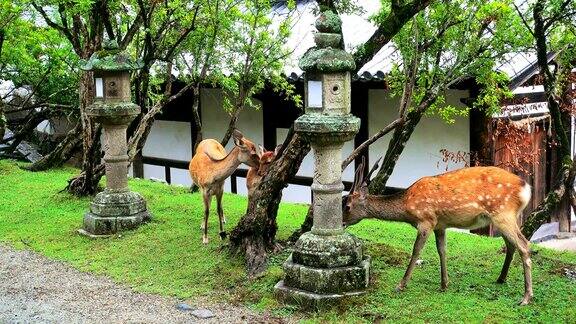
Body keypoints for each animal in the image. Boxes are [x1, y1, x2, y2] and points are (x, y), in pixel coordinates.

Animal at [342, 160, 536, 306]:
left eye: (347, 206)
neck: (407, 208)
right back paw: (501, 278)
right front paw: (444, 284)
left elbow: (416, 251)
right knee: (512, 245)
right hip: (505, 218)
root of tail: (526, 188)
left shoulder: (426, 220)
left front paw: (401, 285)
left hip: (503, 213)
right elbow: (442, 250)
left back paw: (526, 297)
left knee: (524, 245)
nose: (342, 223)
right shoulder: (440, 225)